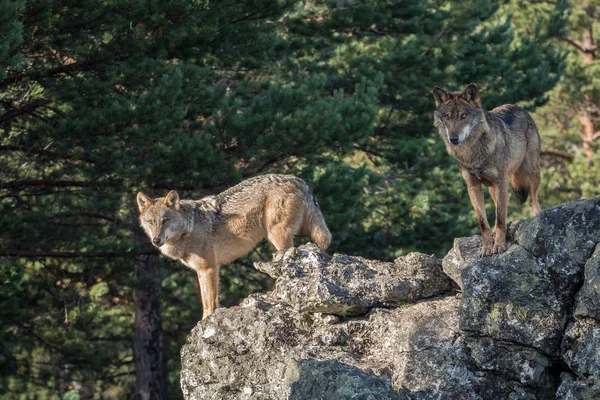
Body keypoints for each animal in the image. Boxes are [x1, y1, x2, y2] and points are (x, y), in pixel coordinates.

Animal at [137, 173, 332, 320]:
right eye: (150, 222)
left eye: (165, 220)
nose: (156, 240)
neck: (189, 228)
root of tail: (298, 179)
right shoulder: (202, 270)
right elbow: (208, 301)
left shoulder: (209, 268)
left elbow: (209, 303)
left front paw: (206, 323)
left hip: (277, 236)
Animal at [434, 83, 540, 256]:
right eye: (448, 117)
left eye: (464, 116)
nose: (453, 139)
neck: (472, 154)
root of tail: (517, 106)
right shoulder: (473, 187)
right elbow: (484, 222)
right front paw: (487, 247)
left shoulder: (501, 183)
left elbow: (500, 218)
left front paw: (499, 246)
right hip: (492, 188)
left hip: (532, 172)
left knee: (533, 199)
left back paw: (538, 216)